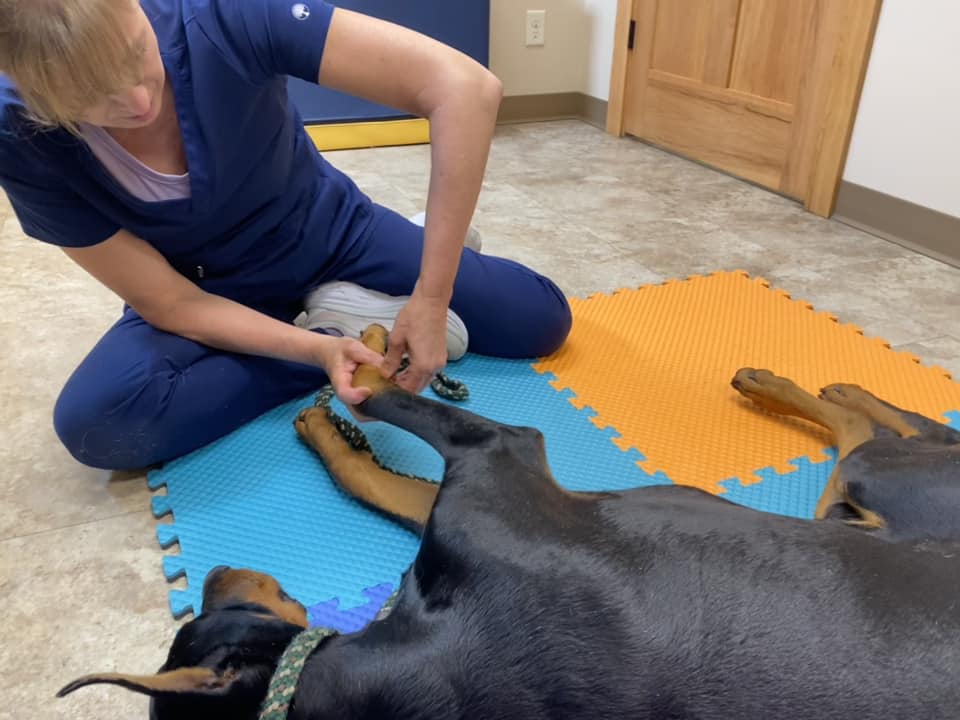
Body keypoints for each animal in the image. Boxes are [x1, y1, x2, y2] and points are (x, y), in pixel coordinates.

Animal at [56, 328, 956, 720]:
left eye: (210, 613)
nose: (212, 570)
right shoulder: (497, 485)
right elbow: (382, 466)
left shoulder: (499, 463)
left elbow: (378, 407)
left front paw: (357, 364)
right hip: (856, 499)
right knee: (879, 433)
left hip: (877, 488)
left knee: (894, 426)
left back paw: (799, 380)